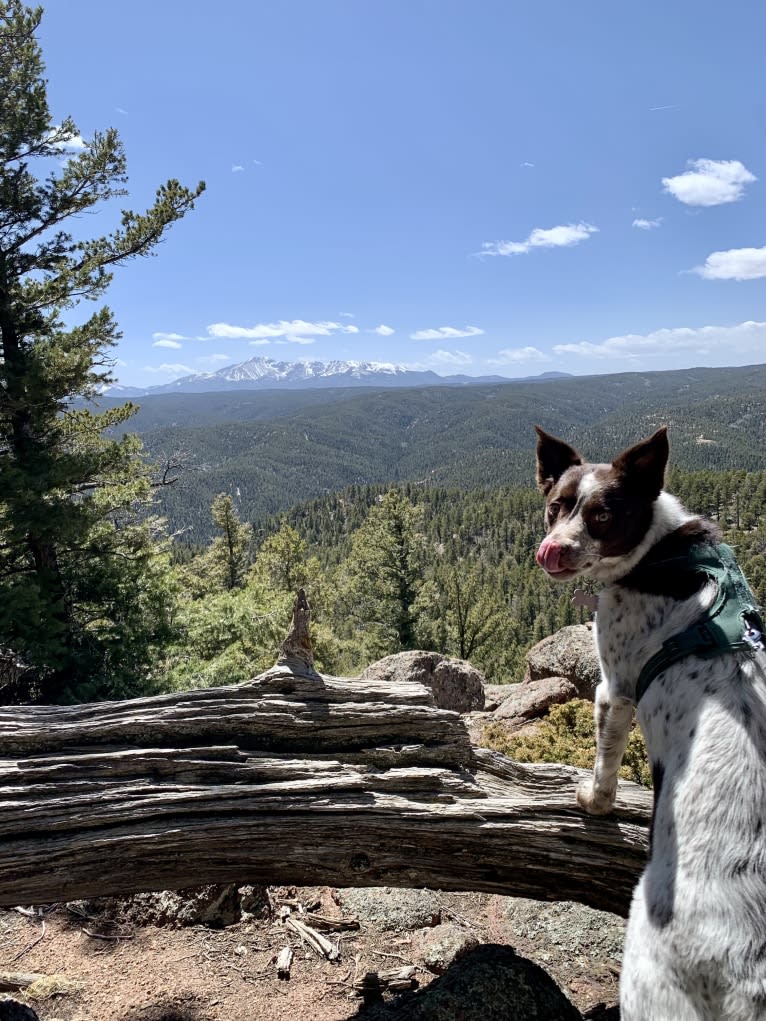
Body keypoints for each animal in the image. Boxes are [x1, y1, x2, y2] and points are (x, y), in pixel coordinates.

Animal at [535, 424, 766, 1021]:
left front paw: (593, 801)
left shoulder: (613, 690)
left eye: (602, 516)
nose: (550, 551)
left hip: (649, 976)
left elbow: (605, 763)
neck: (655, 553)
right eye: (556, 506)